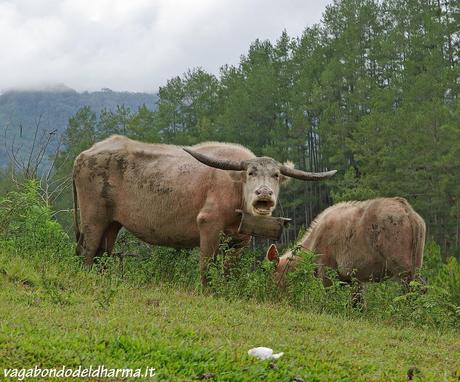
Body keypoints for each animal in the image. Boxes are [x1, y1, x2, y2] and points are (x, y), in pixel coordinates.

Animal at [73, 137, 336, 284]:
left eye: (276, 175)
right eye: (251, 173)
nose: (264, 194)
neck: (235, 188)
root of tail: (84, 154)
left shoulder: (240, 238)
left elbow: (228, 269)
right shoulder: (209, 226)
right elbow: (206, 266)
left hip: (112, 223)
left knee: (102, 253)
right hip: (93, 219)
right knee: (87, 252)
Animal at [266, 198, 428, 286]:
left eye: (274, 276)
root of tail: (409, 212)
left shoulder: (326, 268)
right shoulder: (354, 277)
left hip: (401, 264)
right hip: (417, 261)